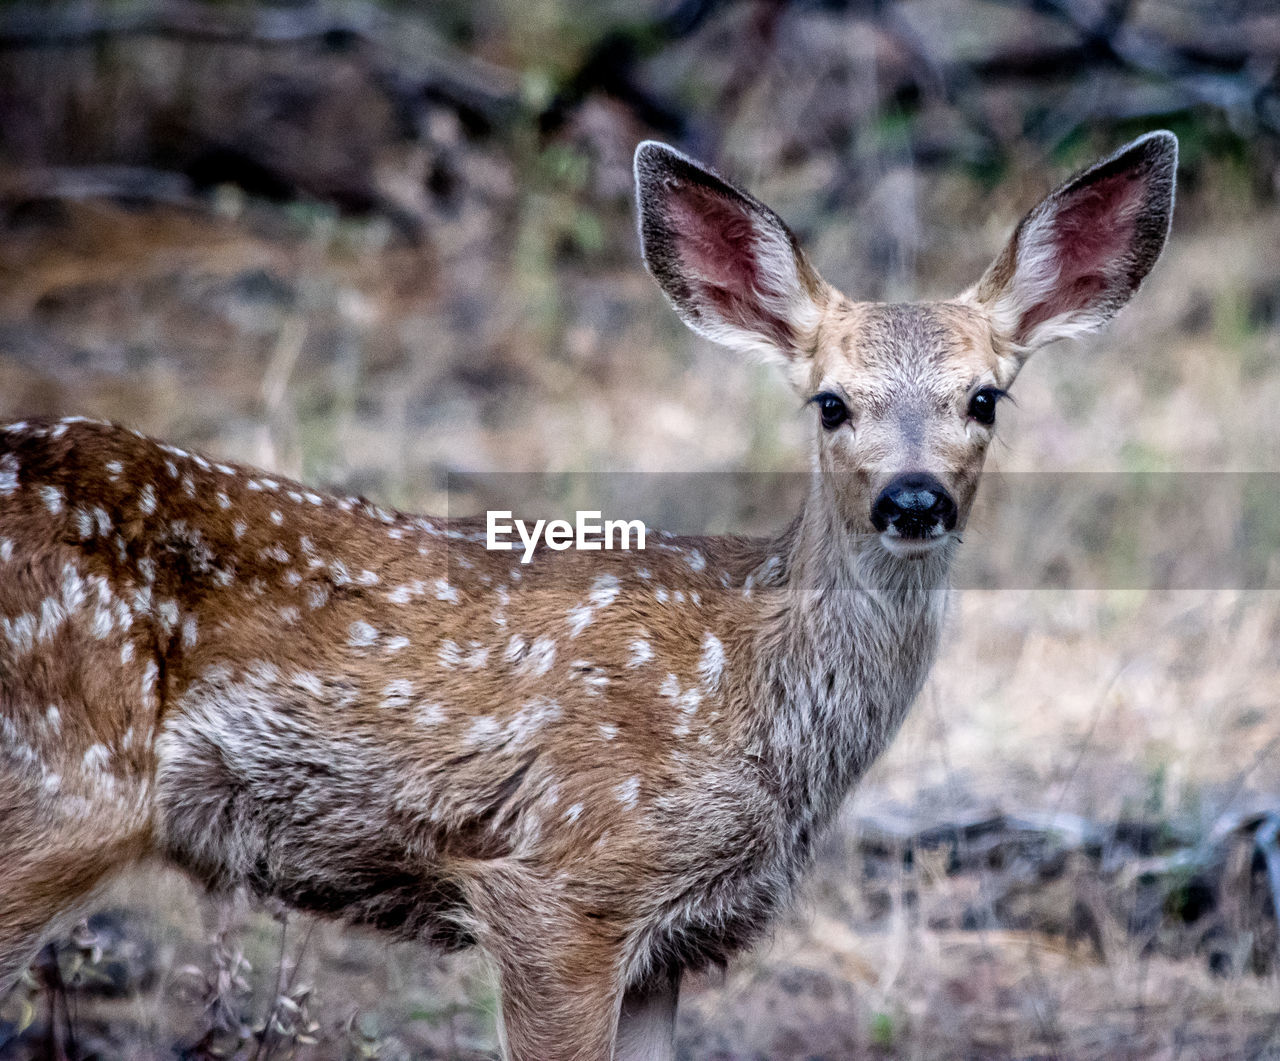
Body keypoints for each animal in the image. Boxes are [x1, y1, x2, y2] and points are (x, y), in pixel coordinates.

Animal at [0, 134, 1172, 1059]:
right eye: (831, 402)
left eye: (985, 397)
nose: (912, 498)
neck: (755, 697)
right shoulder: (563, 880)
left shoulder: (669, 938)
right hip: (64, 784)